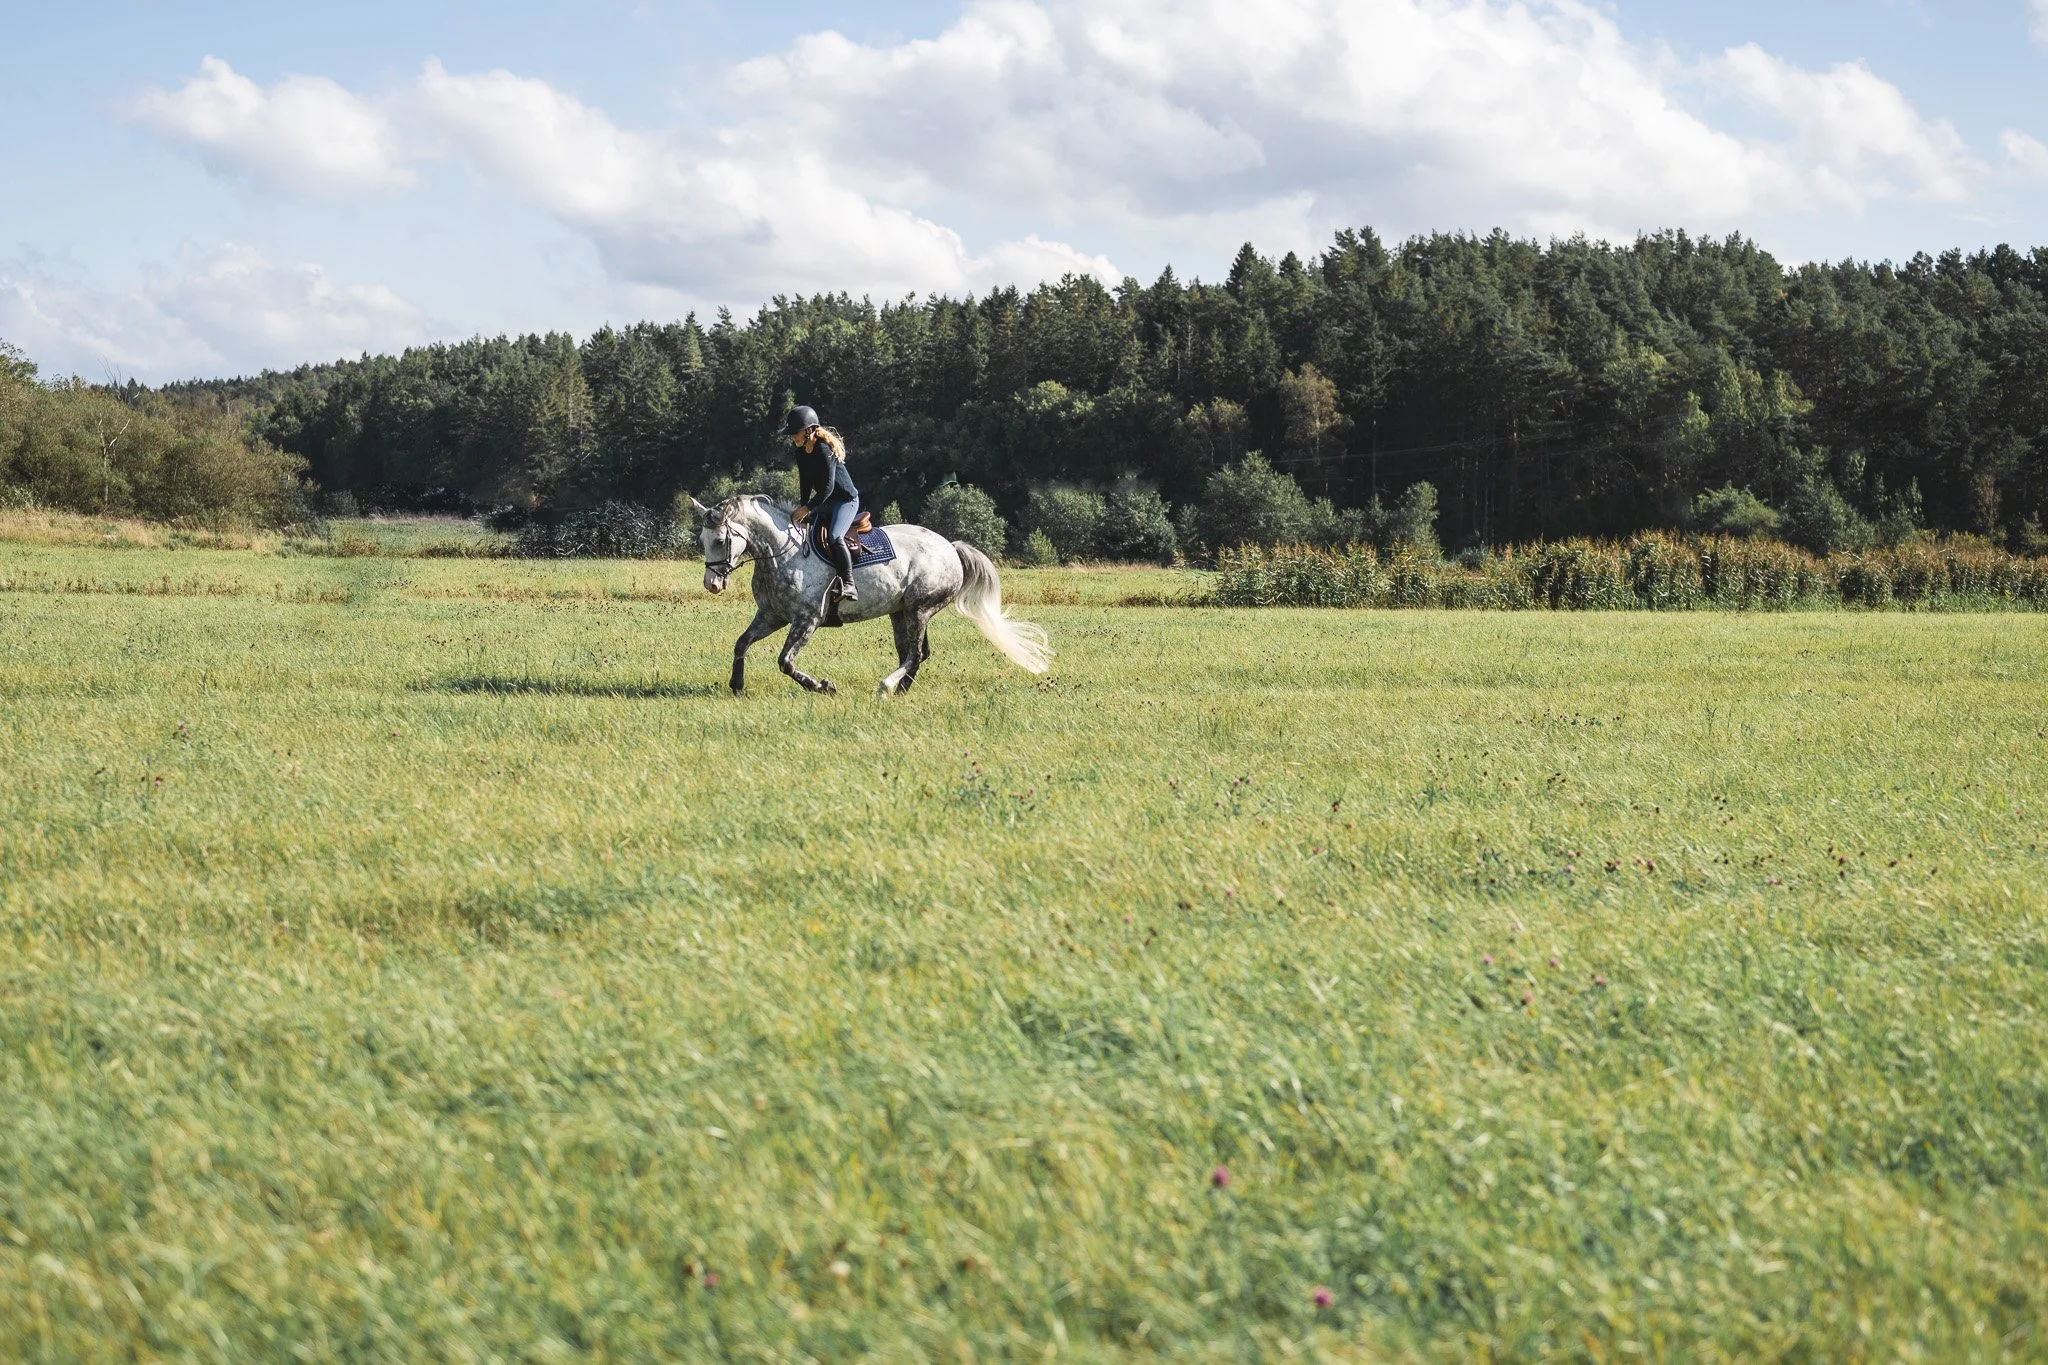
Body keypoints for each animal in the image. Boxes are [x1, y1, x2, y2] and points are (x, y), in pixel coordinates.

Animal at [689, 494, 1052, 695]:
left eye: (720, 540)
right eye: (702, 540)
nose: (712, 584)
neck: (783, 553)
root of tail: (950, 547)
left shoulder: (807, 620)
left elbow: (785, 662)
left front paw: (822, 686)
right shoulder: (772, 616)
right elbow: (741, 643)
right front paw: (736, 686)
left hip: (919, 609)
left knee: (914, 654)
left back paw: (887, 686)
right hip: (901, 612)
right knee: (915, 653)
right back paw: (902, 691)